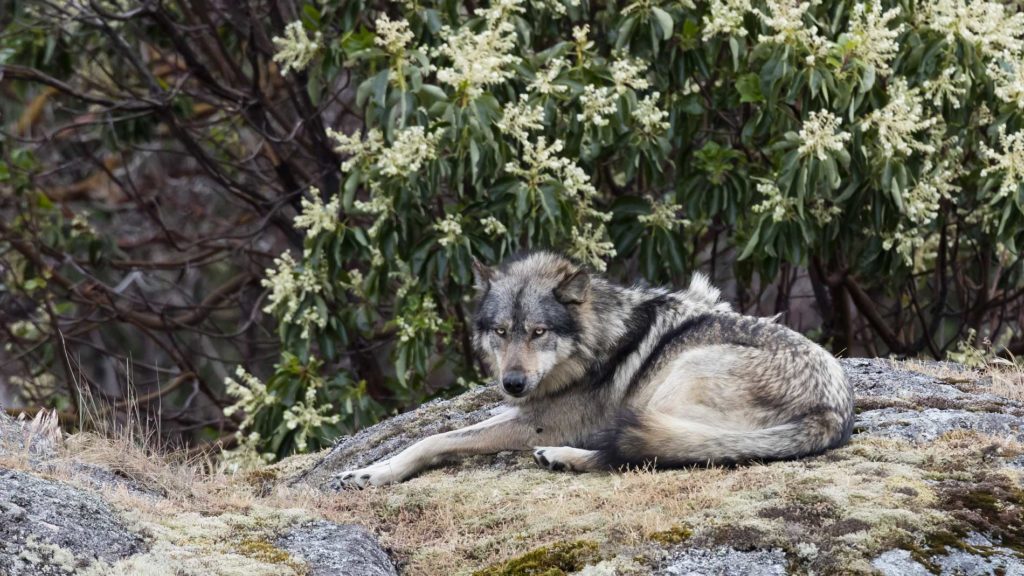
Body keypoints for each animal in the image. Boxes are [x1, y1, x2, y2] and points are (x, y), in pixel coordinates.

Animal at [339, 251, 854, 487]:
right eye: (502, 332)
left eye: (539, 332)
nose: (513, 383)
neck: (595, 344)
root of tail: (833, 413)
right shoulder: (527, 410)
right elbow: (433, 434)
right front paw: (368, 469)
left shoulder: (541, 423)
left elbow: (439, 438)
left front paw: (378, 473)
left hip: (673, 383)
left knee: (642, 454)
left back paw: (563, 457)